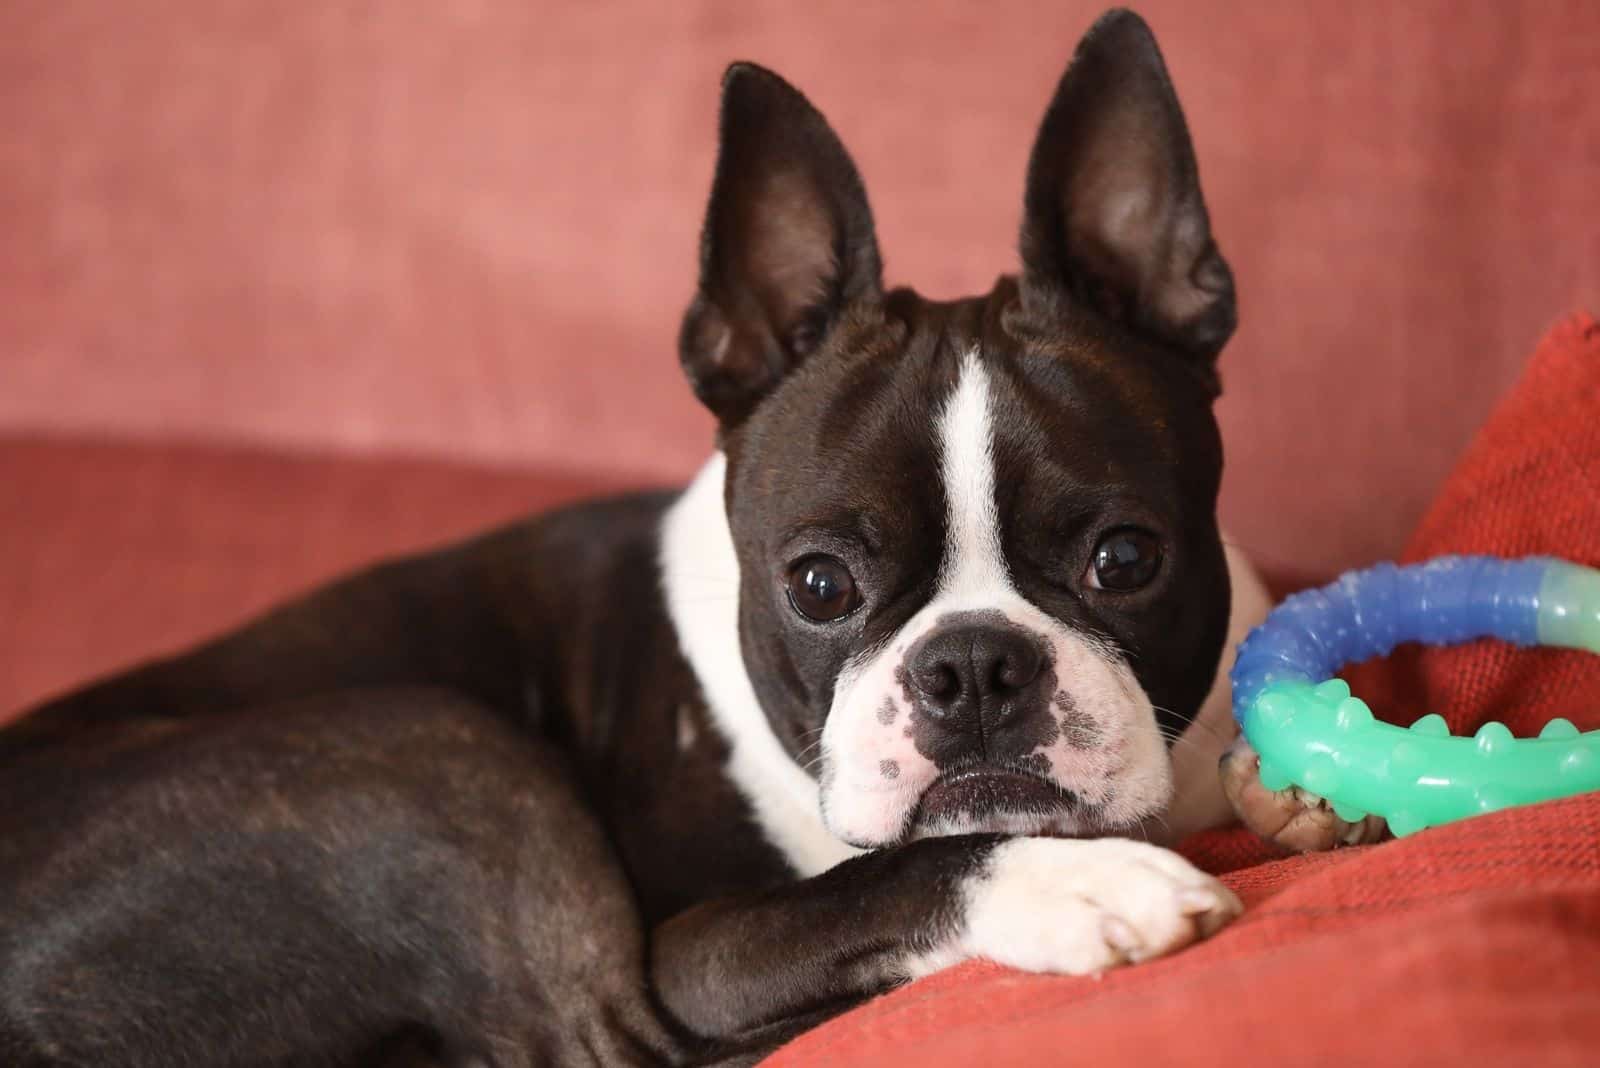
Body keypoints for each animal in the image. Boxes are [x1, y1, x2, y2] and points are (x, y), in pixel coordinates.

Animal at [0, 10, 1312, 1068]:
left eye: (1126, 560)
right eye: (819, 585)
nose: (975, 667)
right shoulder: (703, 949)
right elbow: (885, 879)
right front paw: (1079, 879)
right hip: (434, 748)